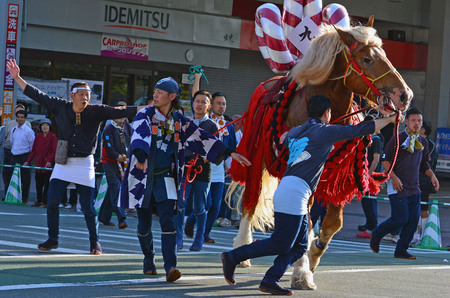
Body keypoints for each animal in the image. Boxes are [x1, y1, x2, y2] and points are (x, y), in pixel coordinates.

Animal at [230, 15, 414, 288]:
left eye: (385, 55)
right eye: (368, 60)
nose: (404, 95)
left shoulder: (339, 174)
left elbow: (331, 224)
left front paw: (313, 255)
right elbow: (303, 219)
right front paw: (302, 271)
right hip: (256, 157)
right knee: (250, 200)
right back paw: (243, 247)